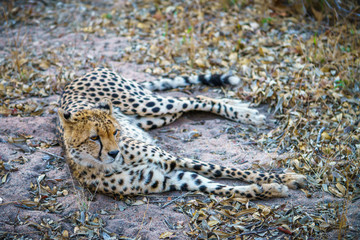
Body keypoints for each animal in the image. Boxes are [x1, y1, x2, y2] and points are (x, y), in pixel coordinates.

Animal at [57, 67, 306, 199]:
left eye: (115, 132)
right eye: (94, 138)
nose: (114, 153)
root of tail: (77, 77)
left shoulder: (172, 159)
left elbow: (226, 169)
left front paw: (286, 178)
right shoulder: (172, 178)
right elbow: (223, 187)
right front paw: (270, 189)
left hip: (146, 104)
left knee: (193, 98)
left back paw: (246, 113)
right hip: (153, 118)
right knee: (188, 105)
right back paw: (240, 106)